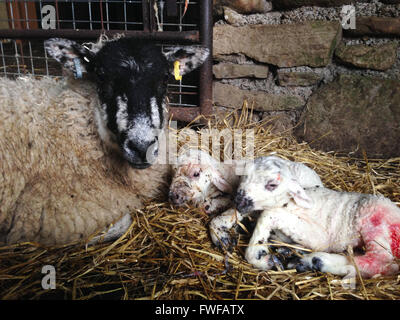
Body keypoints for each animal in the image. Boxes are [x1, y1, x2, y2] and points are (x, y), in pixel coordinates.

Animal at [236, 159, 400, 278]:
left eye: (272, 185)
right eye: (244, 176)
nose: (239, 201)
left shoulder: (320, 237)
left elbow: (268, 214)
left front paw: (259, 255)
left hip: (375, 223)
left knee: (379, 261)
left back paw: (313, 261)